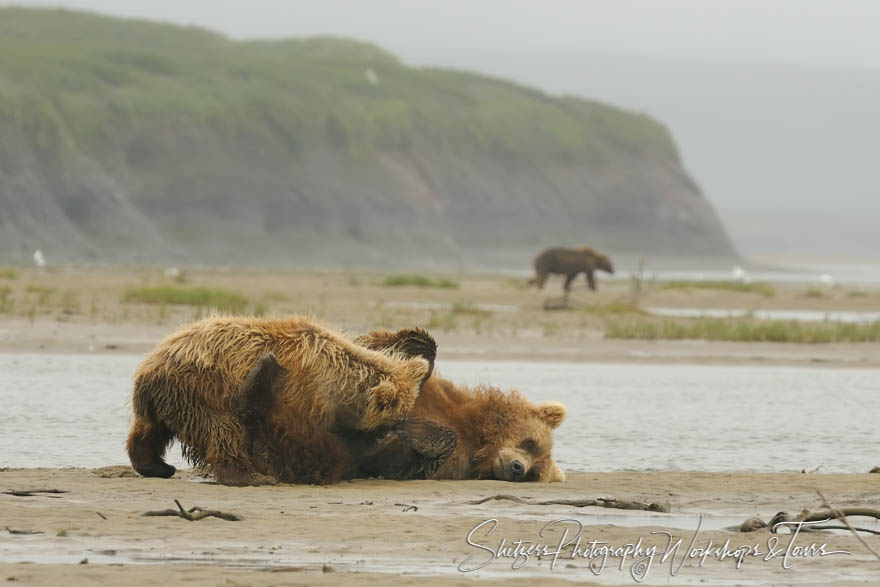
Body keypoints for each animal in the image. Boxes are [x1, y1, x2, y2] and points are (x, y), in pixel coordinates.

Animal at [125, 316, 434, 486]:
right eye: (389, 423)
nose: (396, 430)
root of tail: (153, 363)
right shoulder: (300, 396)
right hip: (204, 387)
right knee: (225, 428)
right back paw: (248, 476)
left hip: (163, 399)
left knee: (147, 432)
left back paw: (155, 465)